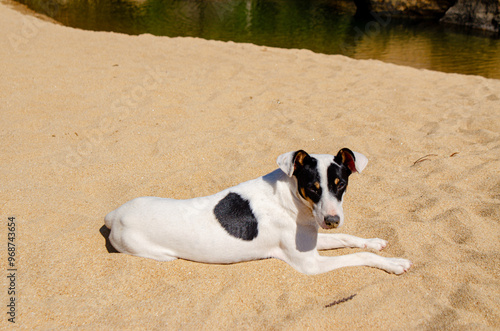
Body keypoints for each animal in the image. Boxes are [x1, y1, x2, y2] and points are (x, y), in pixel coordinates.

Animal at [104, 149, 410, 276]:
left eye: (341, 184)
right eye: (312, 187)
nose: (331, 220)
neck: (291, 199)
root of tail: (114, 214)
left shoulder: (312, 237)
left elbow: (348, 239)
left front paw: (374, 242)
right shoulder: (309, 263)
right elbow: (358, 256)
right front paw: (394, 263)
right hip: (157, 253)